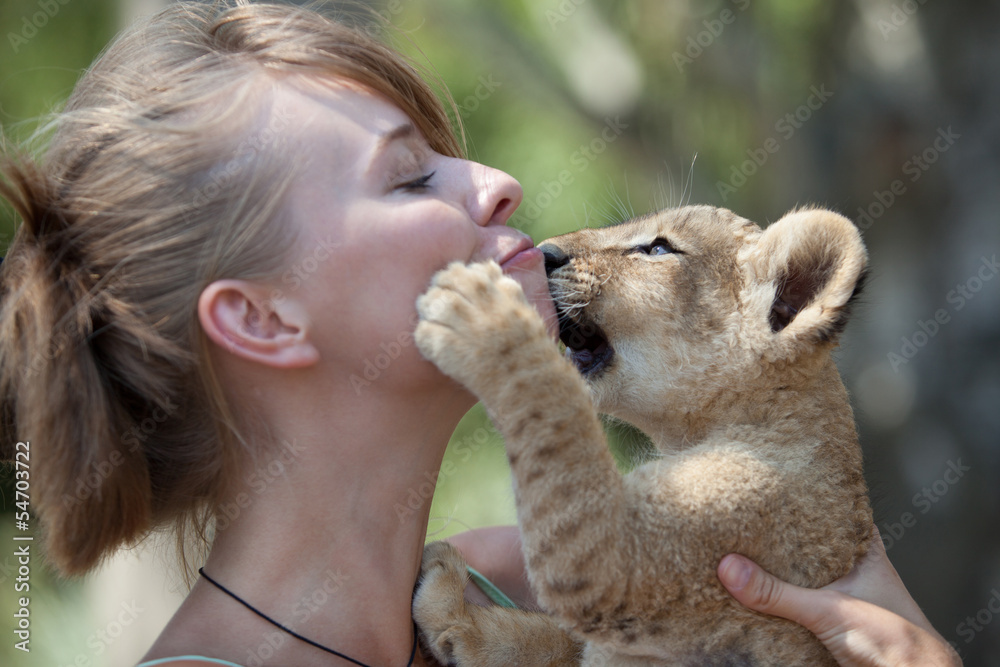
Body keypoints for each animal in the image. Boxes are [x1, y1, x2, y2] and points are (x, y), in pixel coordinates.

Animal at [412, 205, 873, 666]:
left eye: (658, 249)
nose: (545, 252)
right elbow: (539, 639)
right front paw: (451, 605)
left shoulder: (640, 554)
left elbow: (547, 397)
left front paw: (485, 314)